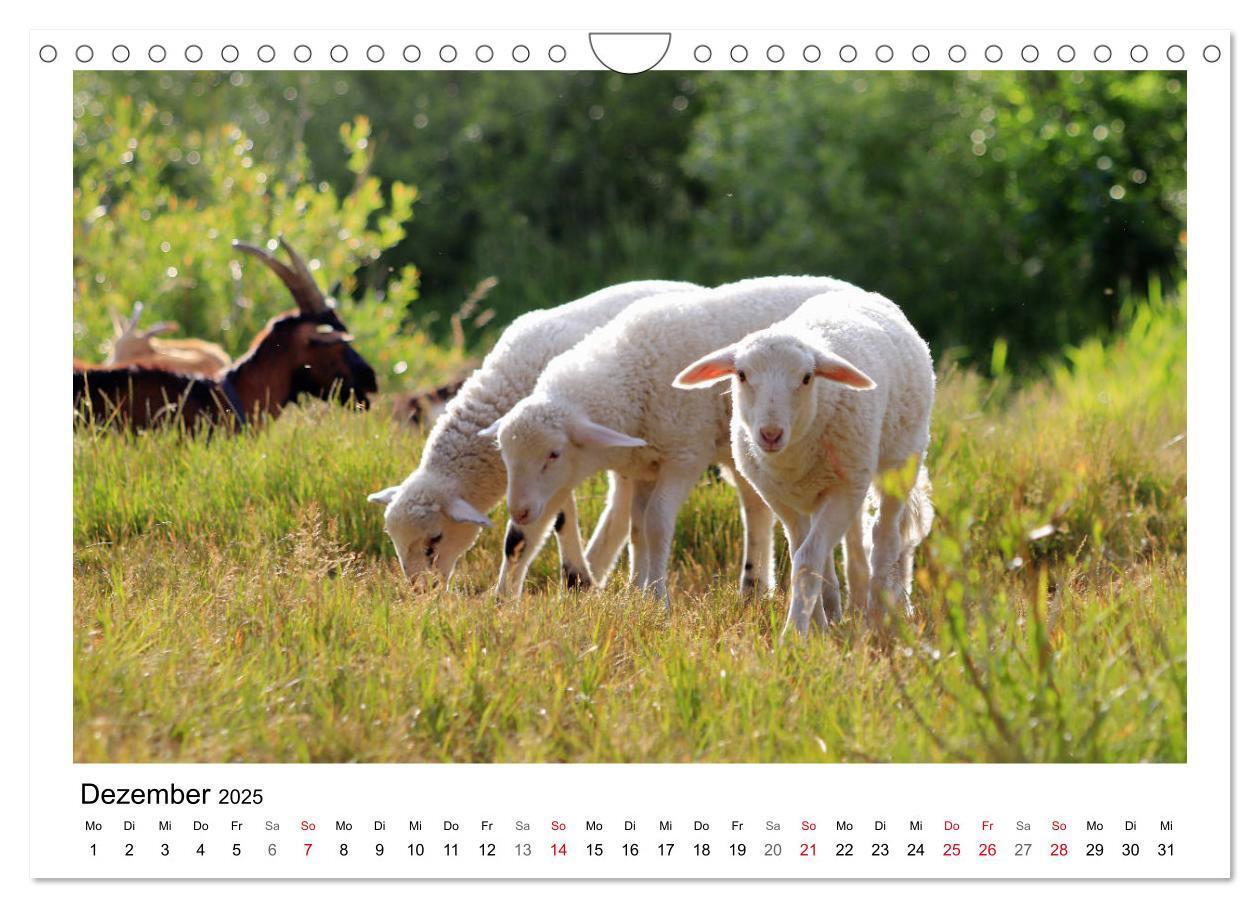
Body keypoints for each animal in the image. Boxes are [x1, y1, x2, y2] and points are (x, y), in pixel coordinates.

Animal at [365, 282, 700, 594]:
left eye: (436, 537)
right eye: (392, 538)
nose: (422, 591)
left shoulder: (554, 464)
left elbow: (524, 535)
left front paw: (557, 584)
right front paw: (570, 582)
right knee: (621, 505)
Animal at [486, 274, 851, 601]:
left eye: (554, 454)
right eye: (505, 455)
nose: (518, 512)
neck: (632, 374)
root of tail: (846, 285)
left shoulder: (683, 456)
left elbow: (657, 524)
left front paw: (658, 598)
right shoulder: (644, 465)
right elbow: (637, 530)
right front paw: (636, 594)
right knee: (756, 507)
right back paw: (754, 590)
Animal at [675, 284, 932, 637]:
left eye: (808, 377)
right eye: (741, 374)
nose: (770, 434)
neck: (792, 459)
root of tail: (864, 293)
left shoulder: (841, 491)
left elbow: (808, 558)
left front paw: (795, 633)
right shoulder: (779, 496)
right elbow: (804, 555)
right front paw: (818, 626)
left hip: (899, 459)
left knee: (885, 534)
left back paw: (878, 614)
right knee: (853, 541)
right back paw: (847, 609)